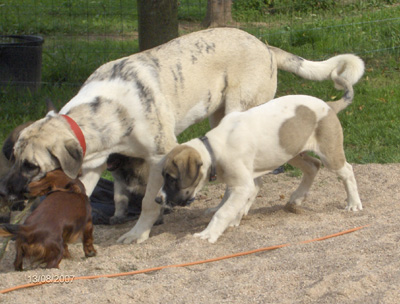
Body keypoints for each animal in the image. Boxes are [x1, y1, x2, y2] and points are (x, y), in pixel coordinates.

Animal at [156, 82, 362, 243]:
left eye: (172, 178)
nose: (158, 199)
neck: (214, 147)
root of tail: (328, 105)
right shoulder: (243, 180)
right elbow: (229, 202)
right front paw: (234, 217)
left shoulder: (243, 185)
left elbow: (223, 212)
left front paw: (208, 235)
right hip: (290, 150)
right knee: (313, 166)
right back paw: (297, 198)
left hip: (329, 153)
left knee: (347, 171)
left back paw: (353, 203)